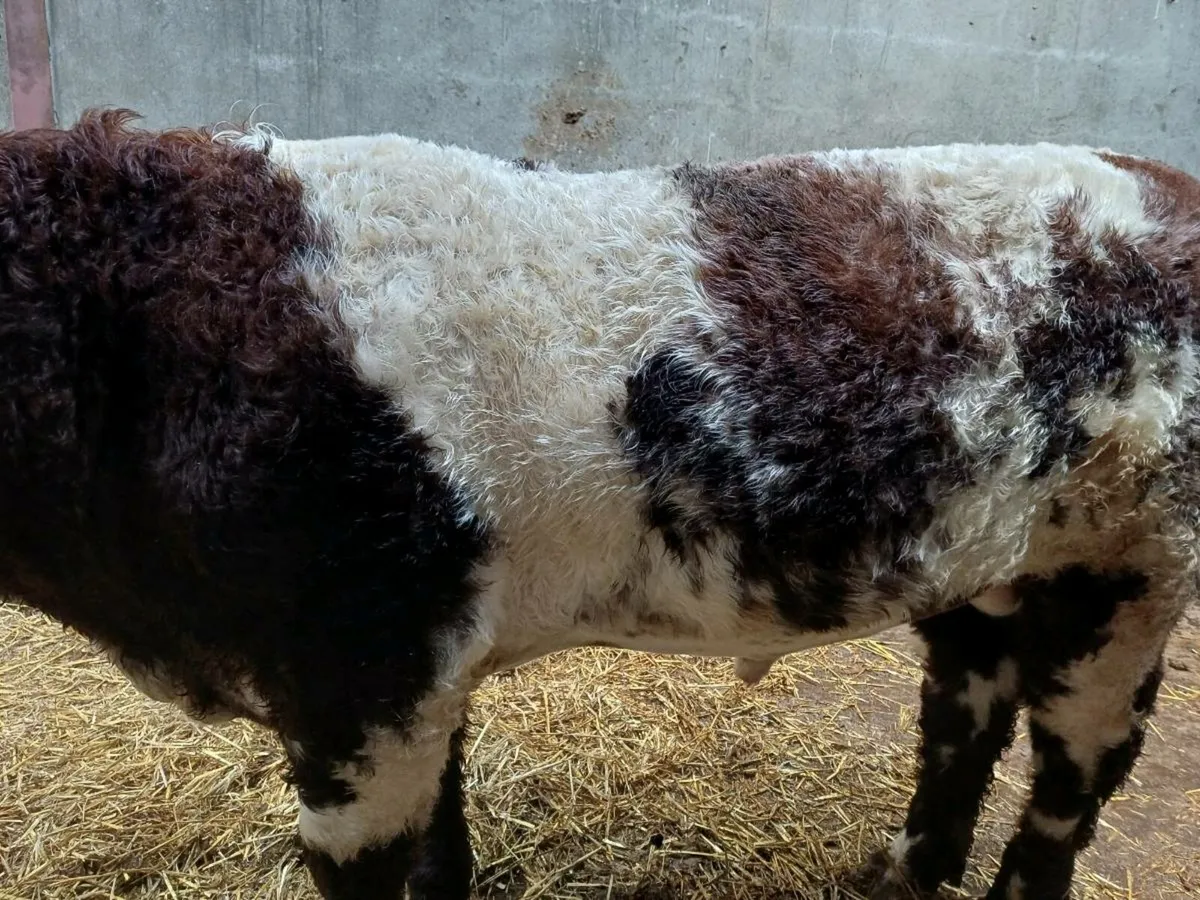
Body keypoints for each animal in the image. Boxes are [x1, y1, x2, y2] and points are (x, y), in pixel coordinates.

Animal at [1, 109, 1197, 900]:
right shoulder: (423, 671)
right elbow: (442, 851)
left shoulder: (365, 674)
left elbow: (379, 865)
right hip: (986, 559)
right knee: (964, 708)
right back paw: (896, 875)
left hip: (1133, 568)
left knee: (1075, 775)